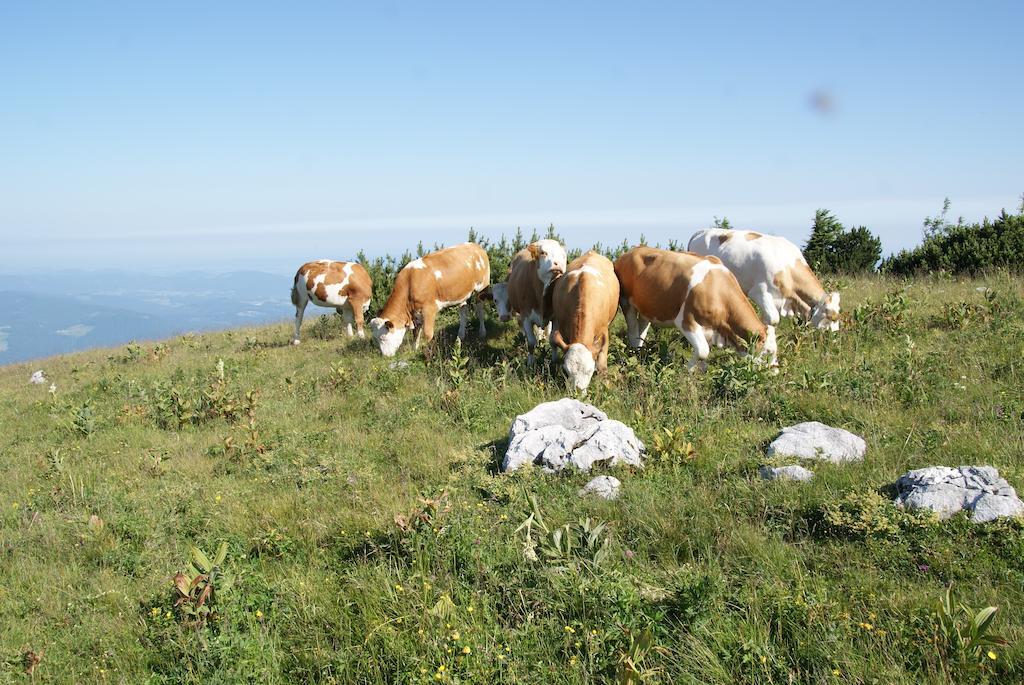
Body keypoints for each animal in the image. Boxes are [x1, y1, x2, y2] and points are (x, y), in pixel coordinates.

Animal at [614, 245, 774, 370]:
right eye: (768, 352)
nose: (775, 372)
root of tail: (629, 252)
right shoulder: (687, 320)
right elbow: (703, 351)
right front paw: (687, 371)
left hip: (647, 307)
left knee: (642, 329)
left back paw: (639, 352)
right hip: (627, 302)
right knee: (632, 330)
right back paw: (633, 353)